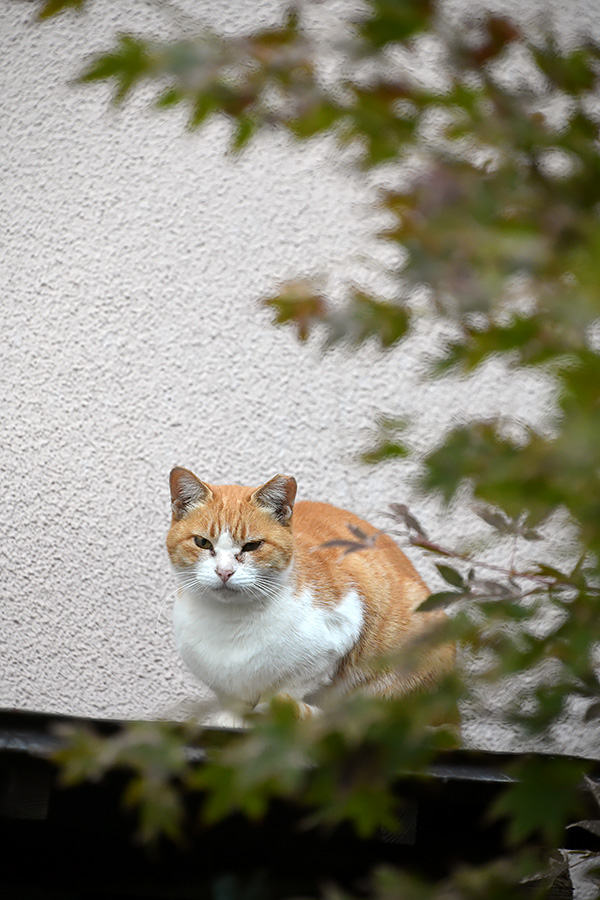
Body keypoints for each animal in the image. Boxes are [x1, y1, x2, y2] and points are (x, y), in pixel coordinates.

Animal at [165, 468, 454, 728]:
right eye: (203, 543)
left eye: (252, 546)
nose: (224, 572)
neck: (229, 623)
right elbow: (233, 699)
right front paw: (233, 717)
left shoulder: (335, 639)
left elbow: (283, 693)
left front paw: (268, 715)